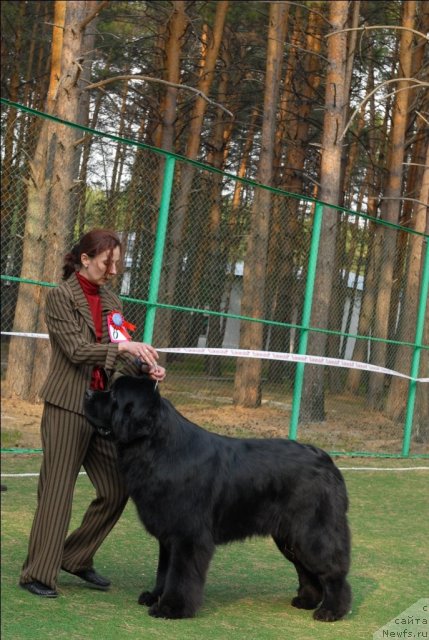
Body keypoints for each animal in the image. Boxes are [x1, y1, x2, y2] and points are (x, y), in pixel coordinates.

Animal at [84, 376, 352, 620]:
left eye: (114, 395)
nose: (87, 392)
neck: (156, 448)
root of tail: (327, 461)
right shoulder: (168, 535)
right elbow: (164, 570)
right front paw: (155, 595)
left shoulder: (188, 536)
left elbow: (179, 574)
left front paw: (171, 608)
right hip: (289, 536)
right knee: (305, 568)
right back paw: (307, 600)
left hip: (312, 531)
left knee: (332, 570)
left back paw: (331, 611)